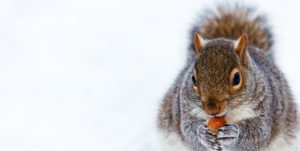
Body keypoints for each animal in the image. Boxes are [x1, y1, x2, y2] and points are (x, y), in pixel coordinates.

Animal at [157, 5, 300, 150]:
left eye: (236, 78)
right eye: (193, 79)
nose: (212, 110)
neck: (228, 115)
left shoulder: (265, 108)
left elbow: (258, 134)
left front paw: (233, 134)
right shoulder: (185, 108)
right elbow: (188, 130)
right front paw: (202, 134)